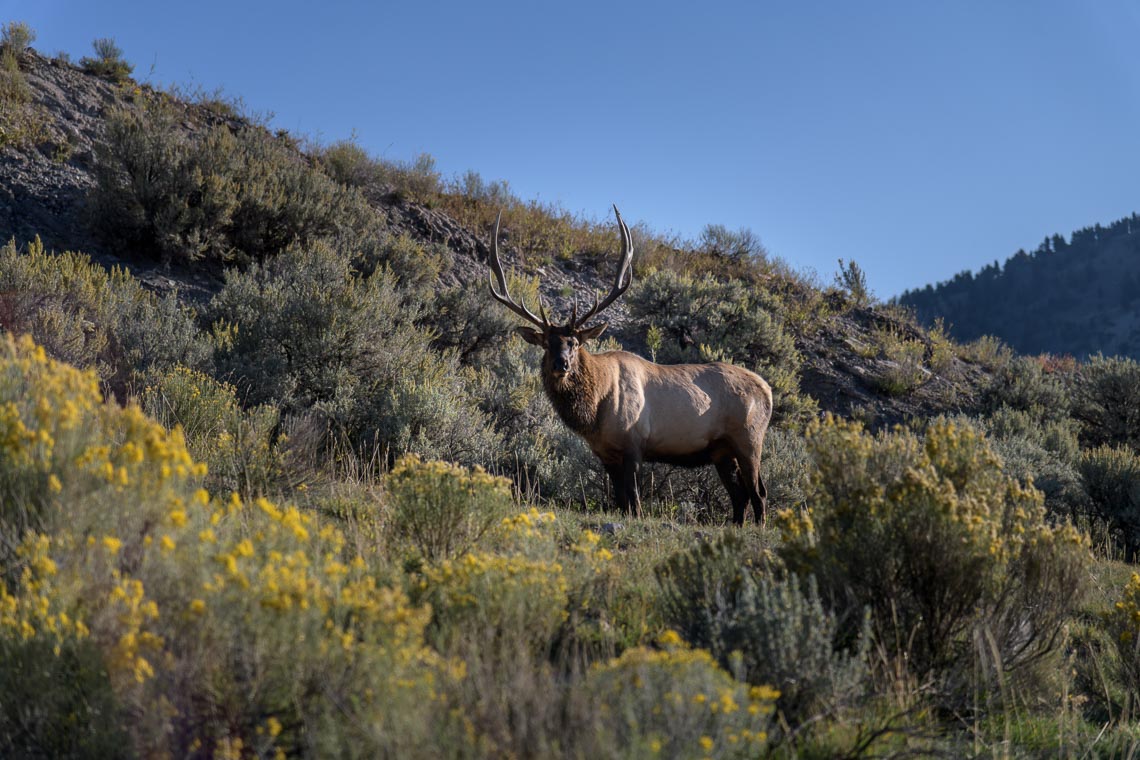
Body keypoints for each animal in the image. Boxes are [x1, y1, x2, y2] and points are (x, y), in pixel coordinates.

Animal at [485, 209, 770, 528]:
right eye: (547, 343)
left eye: (574, 342)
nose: (562, 364)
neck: (596, 410)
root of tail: (768, 390)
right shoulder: (605, 453)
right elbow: (620, 501)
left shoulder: (635, 442)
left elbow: (634, 500)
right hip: (721, 450)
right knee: (739, 494)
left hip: (749, 439)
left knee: (758, 491)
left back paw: (759, 526)